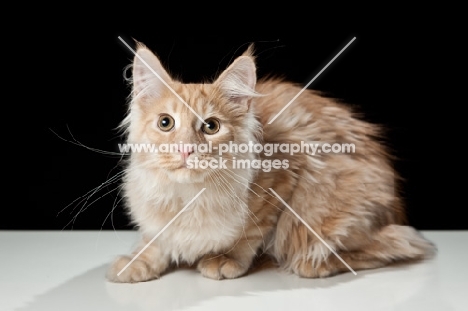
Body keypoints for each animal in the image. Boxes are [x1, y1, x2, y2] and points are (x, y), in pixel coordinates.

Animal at [106, 41, 436, 282]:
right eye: (165, 123)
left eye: (211, 126)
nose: (186, 150)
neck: (187, 196)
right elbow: (155, 239)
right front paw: (139, 260)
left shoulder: (286, 176)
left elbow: (250, 233)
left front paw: (227, 259)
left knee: (401, 244)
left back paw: (317, 262)